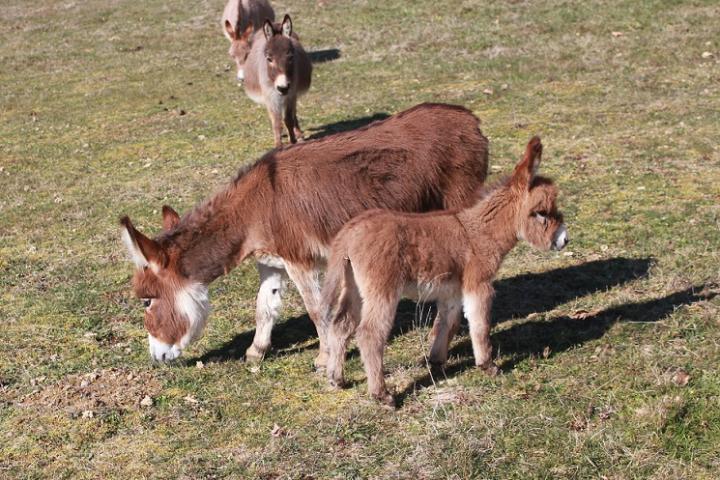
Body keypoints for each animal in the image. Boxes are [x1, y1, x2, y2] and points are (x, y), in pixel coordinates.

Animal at [324, 137, 572, 406]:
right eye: (541, 213)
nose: (564, 240)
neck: (480, 232)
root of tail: (349, 232)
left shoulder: (453, 291)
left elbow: (448, 322)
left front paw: (436, 361)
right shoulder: (478, 284)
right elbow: (480, 323)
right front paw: (488, 366)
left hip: (354, 287)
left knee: (341, 325)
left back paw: (336, 379)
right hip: (382, 290)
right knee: (369, 334)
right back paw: (382, 395)